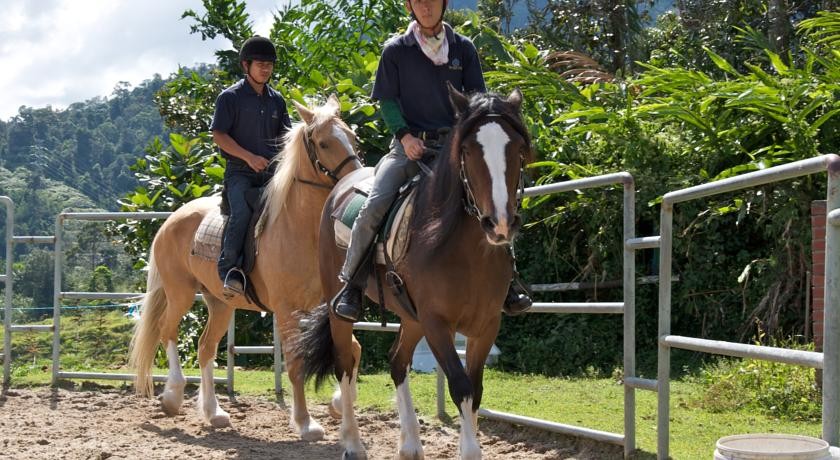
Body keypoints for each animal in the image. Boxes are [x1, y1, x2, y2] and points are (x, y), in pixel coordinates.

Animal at [128, 95, 360, 436]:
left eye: (353, 137)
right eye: (323, 143)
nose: (357, 179)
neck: (297, 227)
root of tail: (171, 220)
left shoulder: (327, 306)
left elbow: (352, 350)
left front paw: (337, 405)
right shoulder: (286, 310)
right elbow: (296, 363)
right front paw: (306, 423)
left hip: (220, 304)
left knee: (205, 348)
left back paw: (214, 413)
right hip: (180, 293)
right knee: (167, 331)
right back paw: (172, 397)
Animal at [296, 87, 532, 460]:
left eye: (518, 148)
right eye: (468, 150)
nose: (500, 224)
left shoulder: (486, 325)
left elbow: (476, 389)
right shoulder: (437, 323)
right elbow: (461, 386)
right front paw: (469, 450)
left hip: (411, 316)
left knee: (396, 360)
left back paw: (409, 445)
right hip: (342, 309)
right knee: (345, 362)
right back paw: (353, 444)